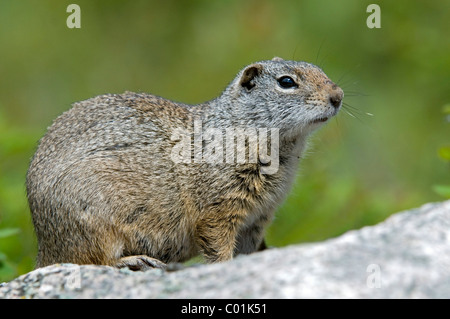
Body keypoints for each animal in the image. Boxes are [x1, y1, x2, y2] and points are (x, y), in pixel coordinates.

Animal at [26, 57, 342, 270]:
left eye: (321, 71)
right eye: (286, 82)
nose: (337, 96)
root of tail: (44, 249)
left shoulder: (258, 218)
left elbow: (249, 249)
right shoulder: (218, 208)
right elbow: (217, 245)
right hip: (93, 224)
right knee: (91, 260)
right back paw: (136, 261)